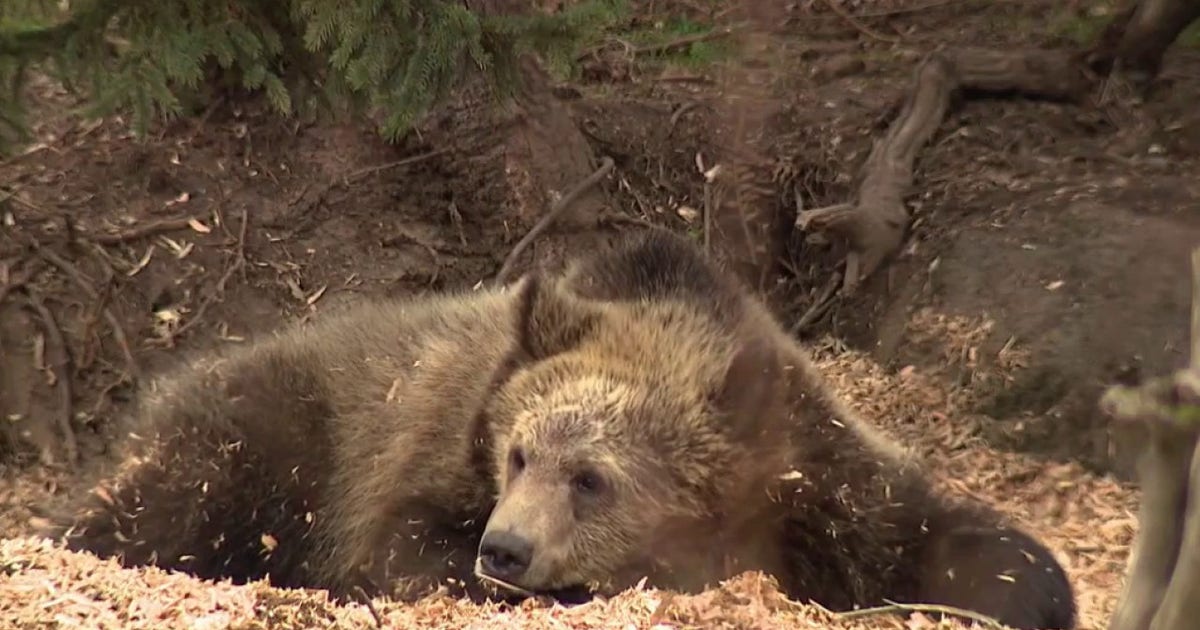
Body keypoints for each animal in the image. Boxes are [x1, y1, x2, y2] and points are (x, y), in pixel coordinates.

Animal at [39, 227, 1076, 629]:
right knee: (168, 501)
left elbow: (939, 532)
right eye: (518, 452)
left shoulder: (816, 475)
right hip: (271, 434)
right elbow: (402, 545)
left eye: (593, 476)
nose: (505, 549)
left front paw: (1027, 586)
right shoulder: (420, 458)